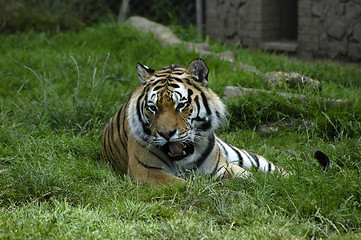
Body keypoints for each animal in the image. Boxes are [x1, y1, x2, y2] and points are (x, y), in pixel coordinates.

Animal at [100, 58, 286, 186]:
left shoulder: (222, 166)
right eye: (153, 108)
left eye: (181, 105)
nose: (166, 134)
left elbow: (249, 179)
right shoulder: (146, 172)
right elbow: (184, 186)